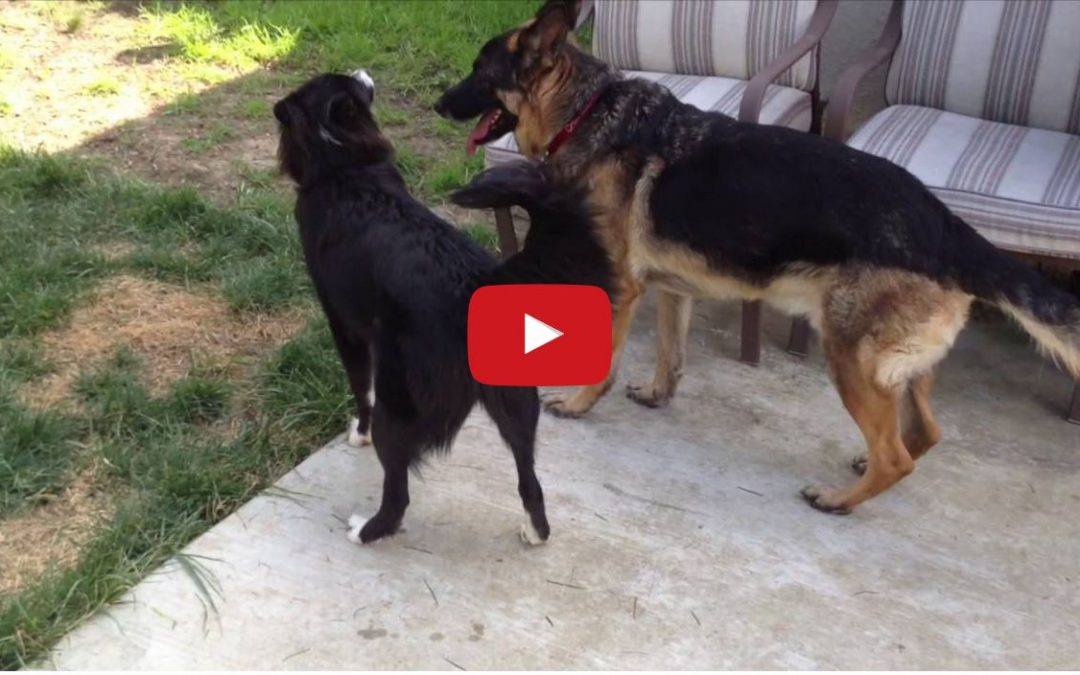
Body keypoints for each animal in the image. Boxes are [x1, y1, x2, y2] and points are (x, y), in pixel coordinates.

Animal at [274, 69, 613, 542]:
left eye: (347, 82)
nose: (362, 71)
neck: (343, 165)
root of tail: (478, 284)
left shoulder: (343, 323)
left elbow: (361, 388)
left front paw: (356, 433)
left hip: (400, 402)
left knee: (398, 494)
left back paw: (364, 531)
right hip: (517, 404)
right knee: (530, 479)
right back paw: (535, 532)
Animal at [436, 0, 1080, 514]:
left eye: (478, 72)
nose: (440, 104)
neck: (586, 110)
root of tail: (946, 224)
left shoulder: (620, 284)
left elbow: (606, 359)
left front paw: (578, 403)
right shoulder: (670, 287)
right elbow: (670, 353)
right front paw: (657, 394)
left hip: (851, 357)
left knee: (897, 454)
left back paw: (839, 500)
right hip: (900, 365)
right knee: (924, 433)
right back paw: (862, 469)